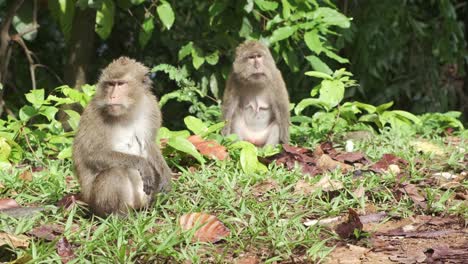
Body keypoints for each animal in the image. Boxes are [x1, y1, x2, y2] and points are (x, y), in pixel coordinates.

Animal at [71, 56, 170, 217]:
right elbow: (91, 154)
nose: (112, 96)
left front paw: (166, 174)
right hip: (98, 203)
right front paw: (141, 163)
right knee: (114, 172)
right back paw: (117, 216)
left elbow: (149, 144)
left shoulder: (151, 107)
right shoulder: (94, 113)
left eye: (121, 84)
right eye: (110, 84)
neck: (128, 111)